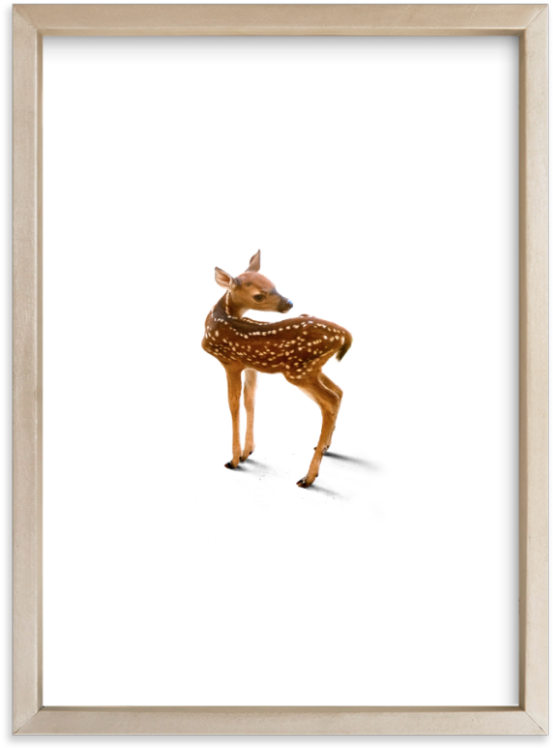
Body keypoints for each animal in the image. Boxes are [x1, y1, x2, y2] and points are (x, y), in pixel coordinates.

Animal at [201, 250, 352, 488]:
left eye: (274, 285)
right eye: (259, 295)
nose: (289, 303)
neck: (219, 320)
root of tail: (344, 334)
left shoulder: (230, 361)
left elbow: (233, 404)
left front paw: (233, 460)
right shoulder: (250, 365)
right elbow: (249, 400)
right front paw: (246, 453)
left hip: (298, 371)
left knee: (330, 400)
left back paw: (308, 478)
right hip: (312, 368)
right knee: (338, 390)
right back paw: (325, 449)